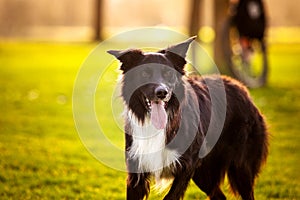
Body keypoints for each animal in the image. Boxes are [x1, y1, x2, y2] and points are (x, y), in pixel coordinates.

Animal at [108, 36, 270, 199]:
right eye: (144, 74)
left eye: (168, 74)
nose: (162, 92)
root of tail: (242, 88)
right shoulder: (136, 170)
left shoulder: (188, 165)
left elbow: (170, 196)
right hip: (204, 173)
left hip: (240, 168)